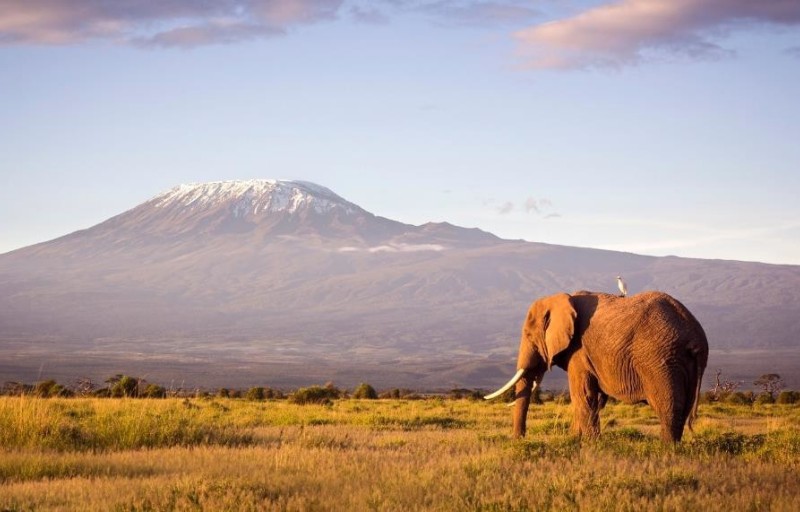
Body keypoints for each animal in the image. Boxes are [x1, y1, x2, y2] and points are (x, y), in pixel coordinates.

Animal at [484, 290, 708, 442]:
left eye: (528, 335)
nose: (519, 439)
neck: (561, 297)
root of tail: (695, 336)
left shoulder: (579, 352)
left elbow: (583, 396)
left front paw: (590, 444)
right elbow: (592, 399)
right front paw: (574, 439)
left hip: (661, 361)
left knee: (668, 407)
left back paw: (665, 449)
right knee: (683, 409)